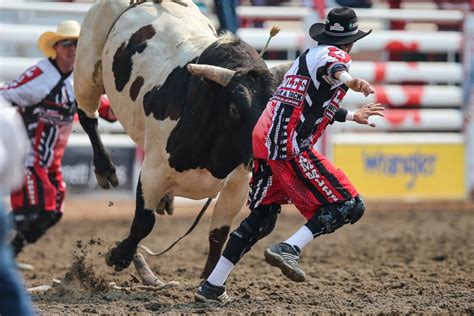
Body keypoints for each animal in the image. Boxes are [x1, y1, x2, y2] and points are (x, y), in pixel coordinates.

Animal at [75, 0, 288, 284]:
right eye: (234, 108)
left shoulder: (237, 184)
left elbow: (219, 233)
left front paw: (210, 279)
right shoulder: (152, 174)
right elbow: (143, 222)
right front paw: (118, 256)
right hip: (87, 69)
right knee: (88, 118)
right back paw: (105, 169)